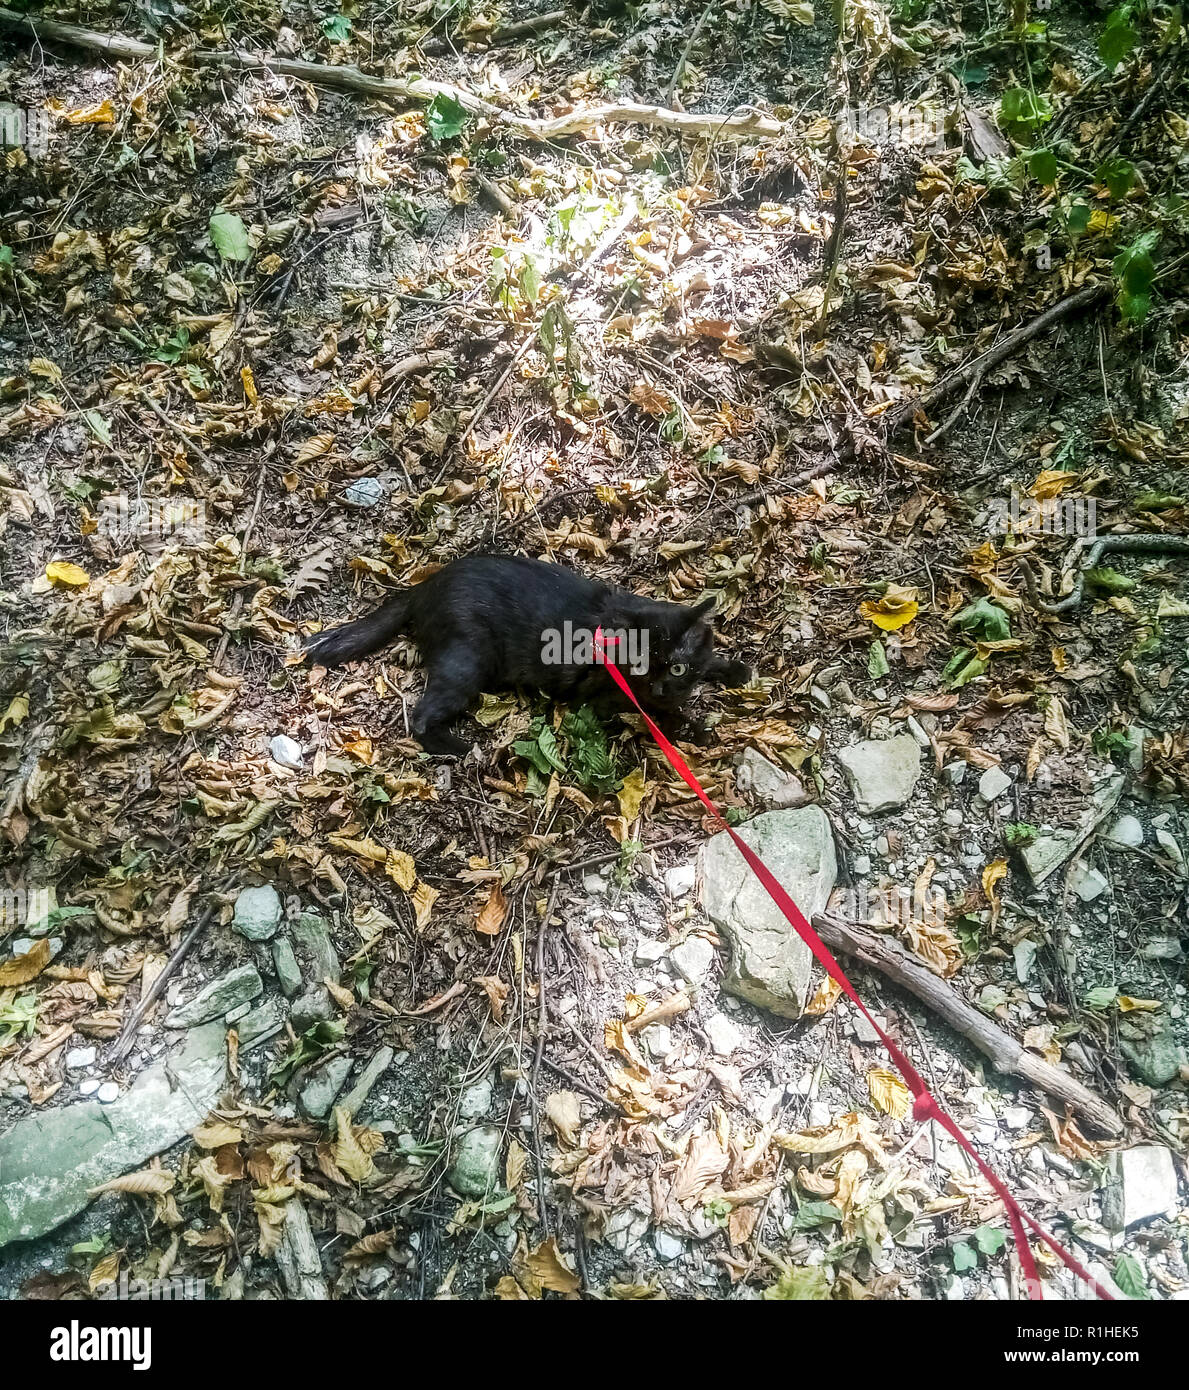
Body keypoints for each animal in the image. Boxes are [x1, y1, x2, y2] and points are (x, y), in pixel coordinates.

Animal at [307, 553, 750, 756]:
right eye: (640, 668)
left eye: (675, 666)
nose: (658, 688)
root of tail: (424, 586)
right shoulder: (608, 696)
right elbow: (659, 716)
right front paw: (694, 727)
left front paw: (733, 670)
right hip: (467, 659)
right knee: (420, 718)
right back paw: (462, 748)